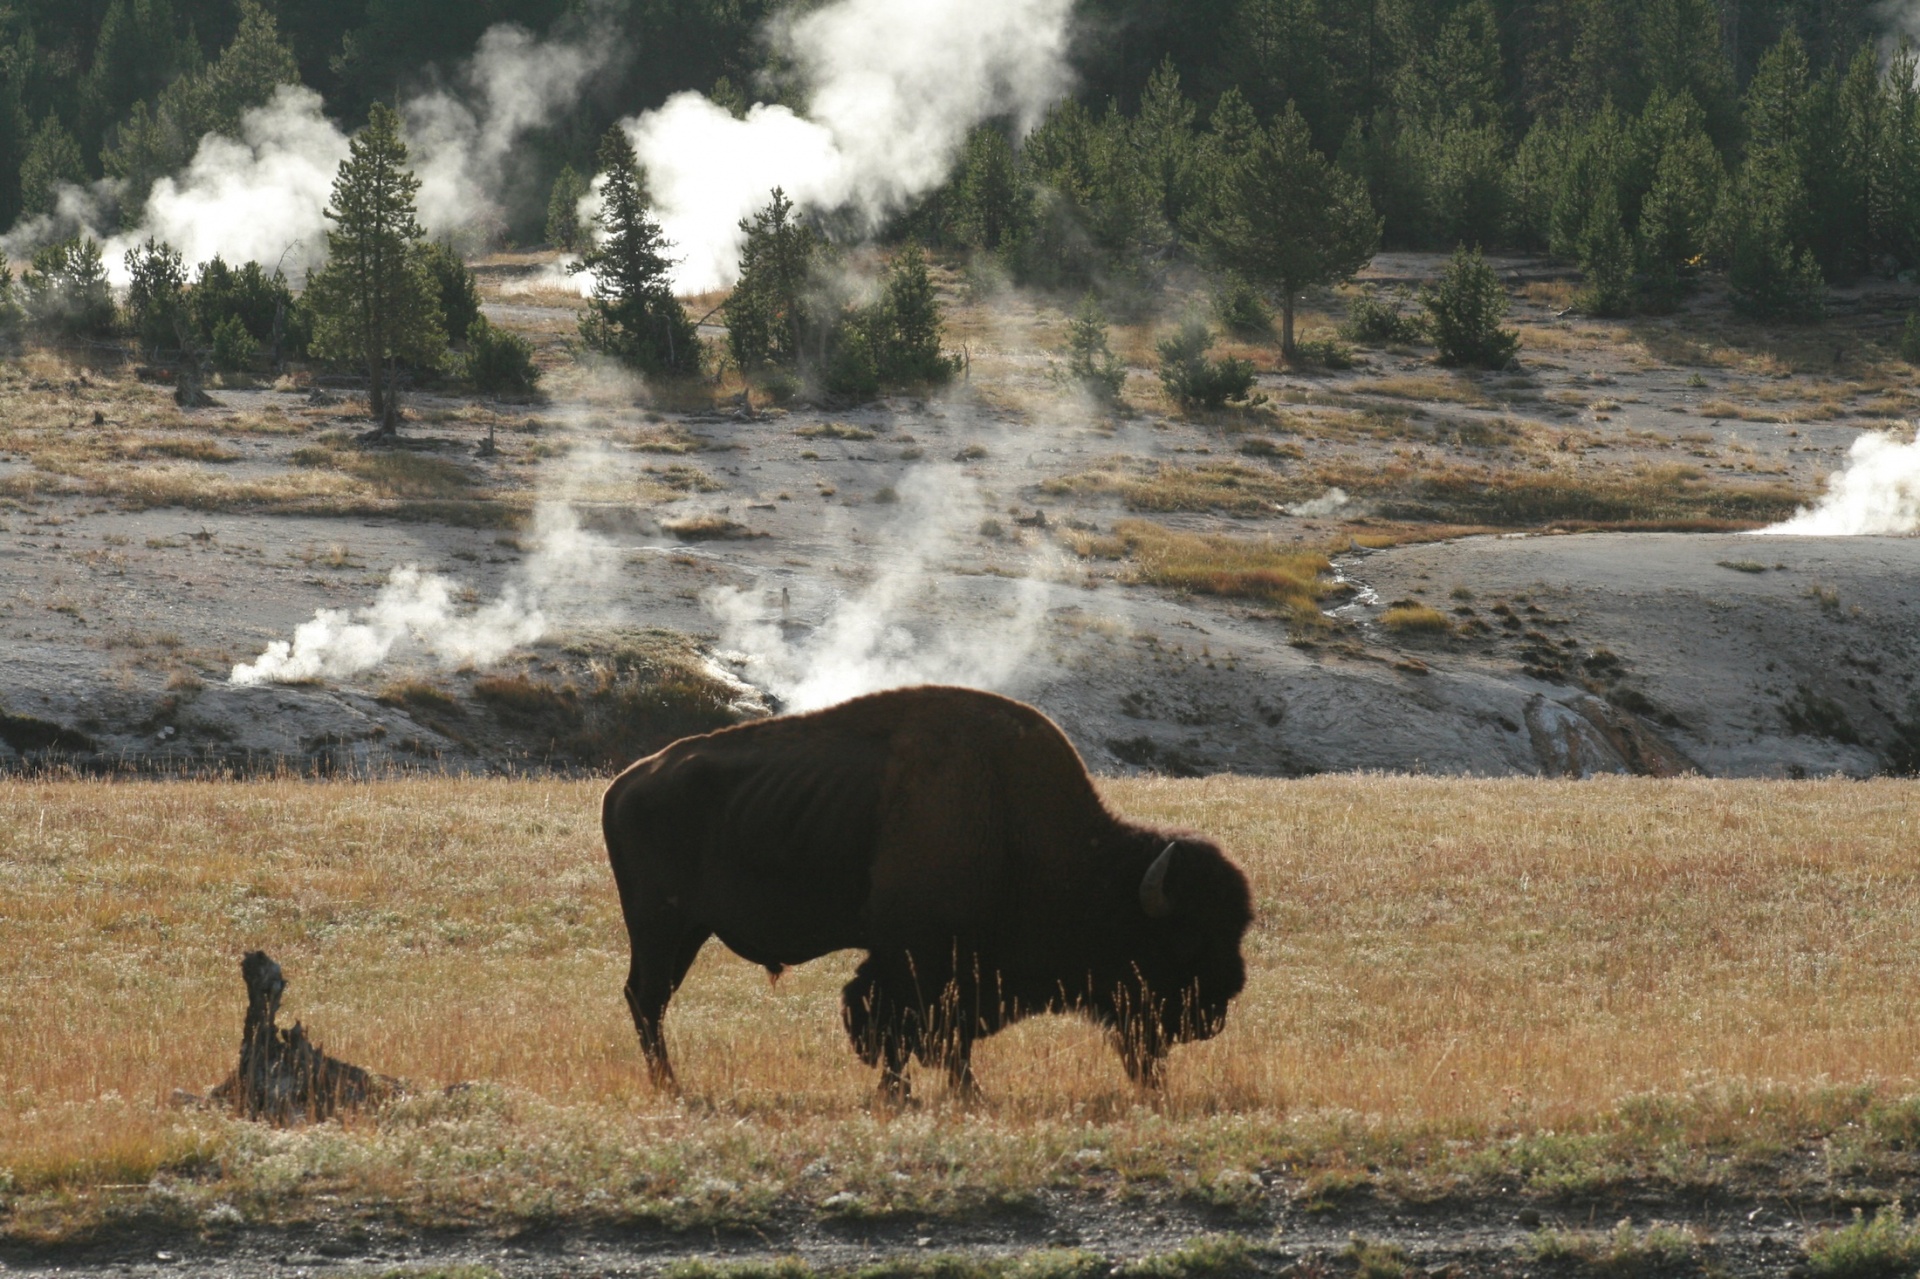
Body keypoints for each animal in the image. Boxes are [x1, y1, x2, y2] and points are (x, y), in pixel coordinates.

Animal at [602, 687, 1259, 1098]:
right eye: (1184, 939)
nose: (1215, 1011)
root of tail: (624, 784)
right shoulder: (917, 960)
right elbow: (914, 1031)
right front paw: (942, 1095)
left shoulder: (933, 967)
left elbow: (910, 1030)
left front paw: (913, 1094)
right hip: (661, 927)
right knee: (647, 1000)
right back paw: (671, 1086)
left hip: (686, 931)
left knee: (648, 1000)